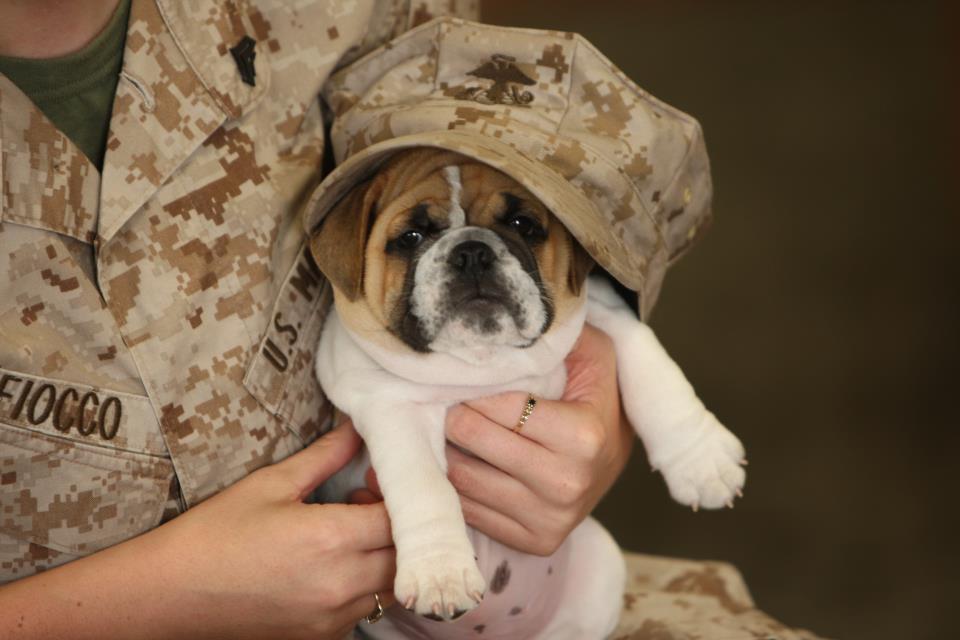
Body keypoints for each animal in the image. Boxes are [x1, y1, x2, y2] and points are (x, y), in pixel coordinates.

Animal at [312, 149, 748, 636]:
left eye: (524, 225)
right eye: (411, 236)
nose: (472, 252)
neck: (482, 362)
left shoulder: (605, 310)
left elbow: (651, 365)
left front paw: (701, 458)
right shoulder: (389, 404)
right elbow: (423, 484)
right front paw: (439, 572)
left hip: (601, 560)